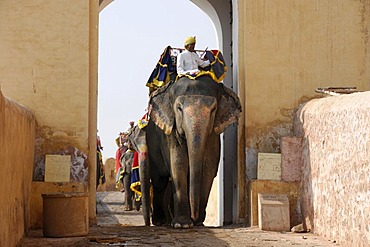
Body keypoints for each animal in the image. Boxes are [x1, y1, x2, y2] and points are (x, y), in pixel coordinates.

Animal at [145, 74, 243, 229]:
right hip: (152, 144)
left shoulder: (213, 135)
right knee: (159, 181)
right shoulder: (171, 133)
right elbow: (178, 164)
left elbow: (209, 168)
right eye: (179, 108)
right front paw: (182, 225)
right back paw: (159, 222)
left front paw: (197, 222)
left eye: (213, 109)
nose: (195, 215)